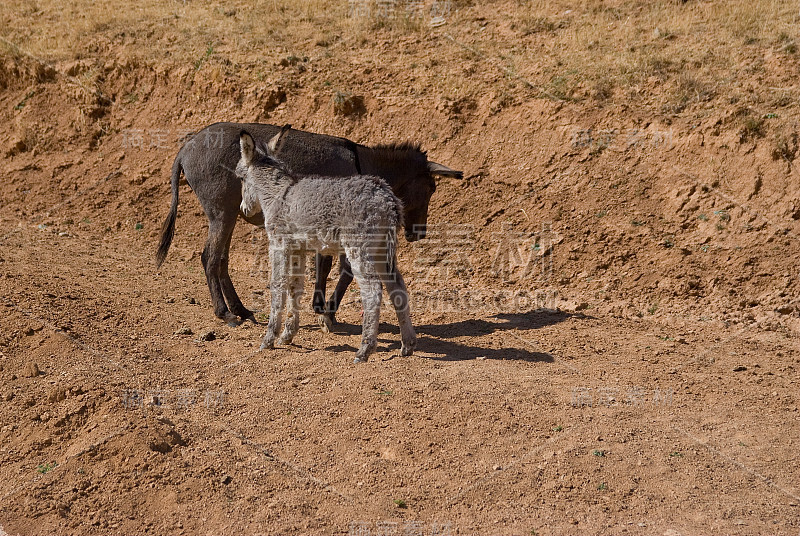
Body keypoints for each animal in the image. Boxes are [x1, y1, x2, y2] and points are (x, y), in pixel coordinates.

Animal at [238, 126, 416, 362]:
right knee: (397, 287)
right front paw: (287, 334)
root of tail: (387, 197)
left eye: (240, 179)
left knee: (373, 291)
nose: (244, 209)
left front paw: (269, 339)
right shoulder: (298, 249)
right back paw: (408, 344)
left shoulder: (278, 245)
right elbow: (295, 287)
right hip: (382, 250)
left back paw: (365, 349)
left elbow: (277, 286)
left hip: (359, 249)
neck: (278, 195)